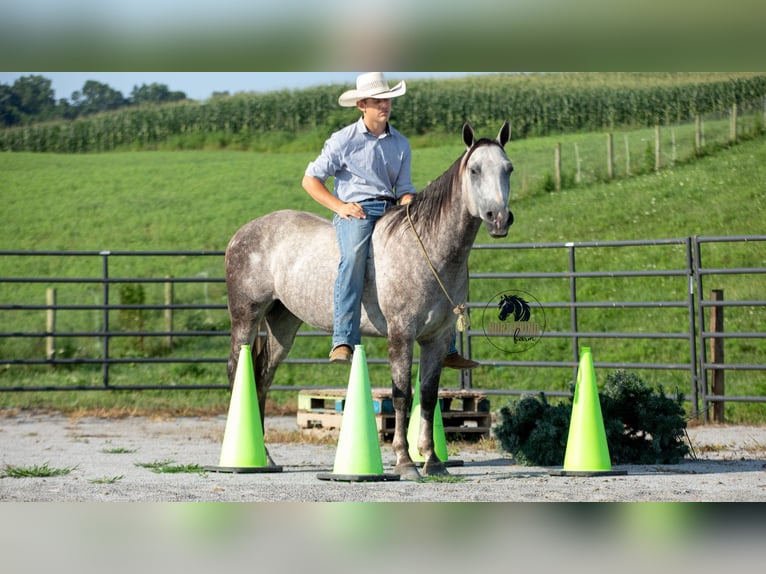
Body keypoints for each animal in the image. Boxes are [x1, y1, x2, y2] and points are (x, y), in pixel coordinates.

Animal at [224, 122, 513, 478]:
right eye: (474, 170)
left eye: (508, 169)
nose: (499, 217)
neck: (428, 248)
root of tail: (242, 233)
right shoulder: (401, 333)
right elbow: (402, 394)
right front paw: (405, 461)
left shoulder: (437, 337)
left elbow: (428, 396)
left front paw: (432, 460)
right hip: (245, 317)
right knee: (238, 371)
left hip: (283, 323)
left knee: (262, 376)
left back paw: (265, 457)